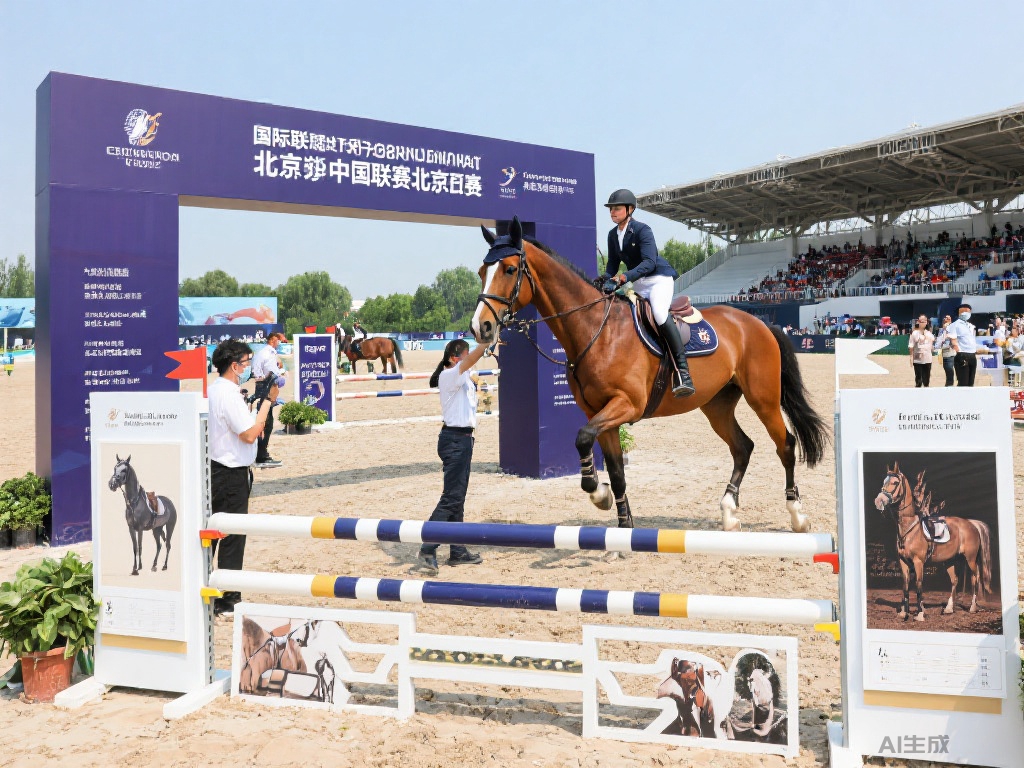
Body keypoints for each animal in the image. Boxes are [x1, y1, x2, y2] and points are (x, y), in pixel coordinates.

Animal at [473, 217, 829, 532]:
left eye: (509, 269)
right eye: (481, 272)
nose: (481, 327)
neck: (596, 330)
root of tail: (759, 322)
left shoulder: (626, 405)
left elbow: (583, 438)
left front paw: (597, 493)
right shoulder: (599, 413)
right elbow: (616, 471)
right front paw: (622, 523)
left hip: (763, 399)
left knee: (785, 444)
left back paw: (797, 515)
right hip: (717, 404)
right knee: (743, 447)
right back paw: (729, 513)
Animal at [872, 463, 993, 621]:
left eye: (895, 482)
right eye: (884, 481)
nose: (878, 500)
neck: (910, 529)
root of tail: (970, 523)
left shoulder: (918, 562)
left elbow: (918, 585)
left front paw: (920, 614)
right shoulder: (903, 562)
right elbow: (905, 585)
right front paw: (904, 612)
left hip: (970, 559)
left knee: (975, 577)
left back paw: (972, 607)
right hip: (950, 560)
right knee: (954, 580)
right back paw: (948, 609)